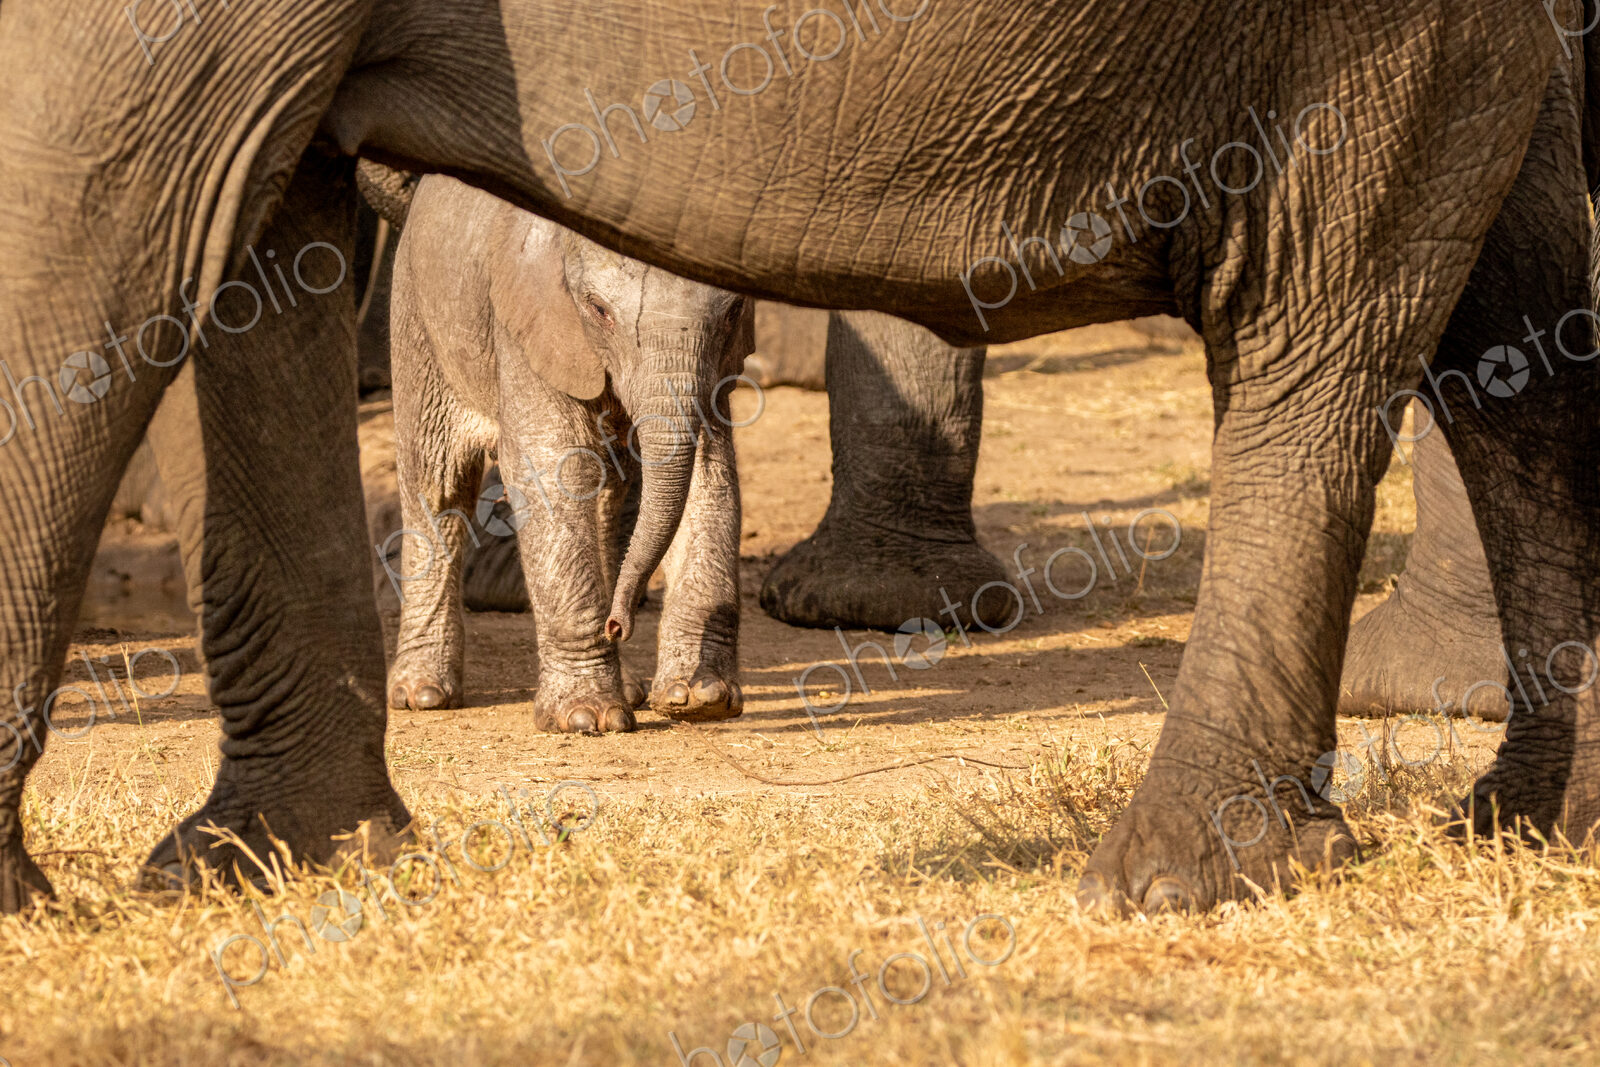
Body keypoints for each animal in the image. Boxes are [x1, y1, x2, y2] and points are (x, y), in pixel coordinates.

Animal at [384, 173, 749, 730]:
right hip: (418, 314)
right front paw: (586, 720)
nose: (618, 625)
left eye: (734, 312)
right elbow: (547, 467)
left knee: (607, 498)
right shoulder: (527, 322)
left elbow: (711, 471)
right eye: (598, 310)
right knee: (438, 480)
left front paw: (699, 699)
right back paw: (421, 695)